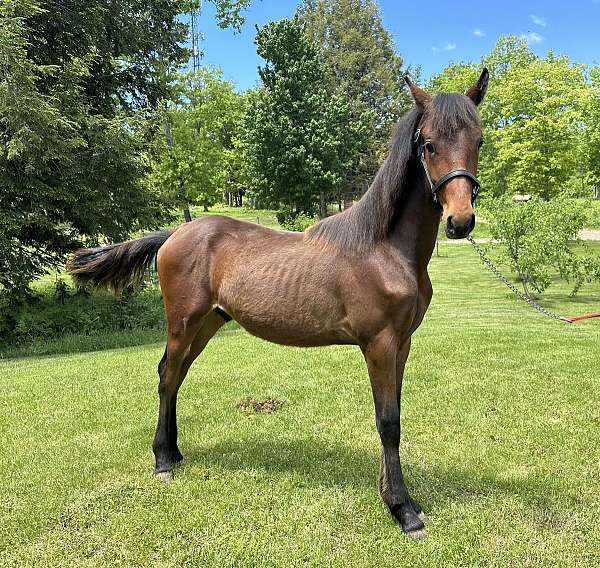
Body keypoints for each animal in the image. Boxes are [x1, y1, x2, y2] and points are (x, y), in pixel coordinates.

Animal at [68, 72, 488, 540]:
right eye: (428, 144)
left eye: (479, 140)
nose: (460, 221)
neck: (383, 249)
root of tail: (174, 234)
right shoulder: (378, 343)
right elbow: (388, 422)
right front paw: (403, 510)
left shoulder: (402, 343)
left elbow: (393, 414)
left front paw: (397, 498)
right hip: (182, 322)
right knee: (166, 377)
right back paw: (162, 460)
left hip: (208, 324)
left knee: (174, 377)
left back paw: (174, 453)